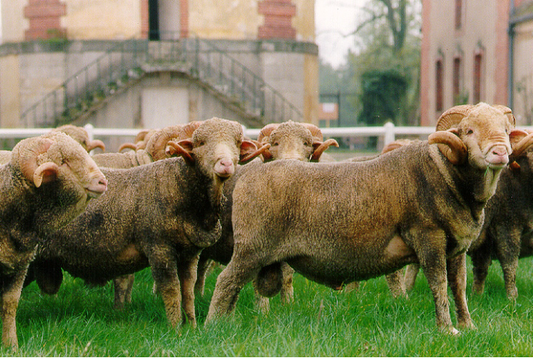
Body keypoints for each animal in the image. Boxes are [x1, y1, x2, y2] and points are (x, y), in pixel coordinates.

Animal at [27, 118, 268, 330]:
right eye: (200, 143)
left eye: (236, 143)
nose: (225, 164)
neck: (180, 187)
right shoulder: (159, 247)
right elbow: (171, 291)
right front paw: (175, 330)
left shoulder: (190, 254)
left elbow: (188, 291)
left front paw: (192, 327)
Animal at [206, 103, 524, 332]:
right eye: (468, 131)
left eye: (506, 129)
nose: (499, 151)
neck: (445, 175)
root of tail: (247, 176)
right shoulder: (428, 237)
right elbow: (439, 285)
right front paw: (447, 331)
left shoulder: (456, 248)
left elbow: (459, 288)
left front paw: (468, 327)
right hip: (252, 249)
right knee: (225, 282)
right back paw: (212, 327)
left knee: (233, 287)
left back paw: (227, 323)